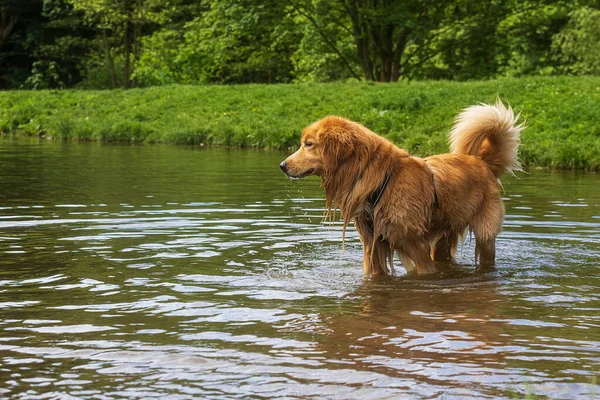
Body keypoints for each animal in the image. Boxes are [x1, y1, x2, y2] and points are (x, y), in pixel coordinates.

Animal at [278, 101, 524, 276]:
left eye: (308, 144)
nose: (282, 165)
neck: (379, 181)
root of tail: (482, 162)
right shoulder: (372, 244)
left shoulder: (413, 242)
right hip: (444, 237)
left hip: (485, 234)